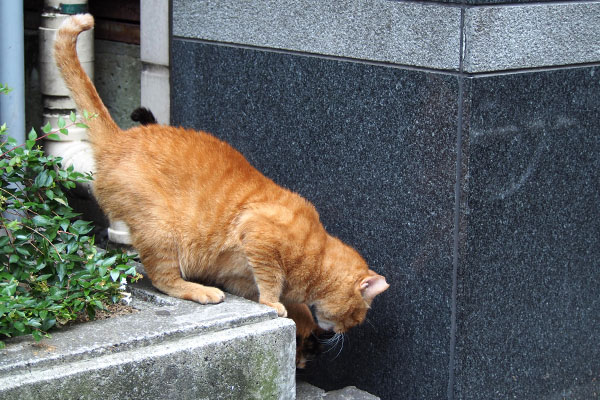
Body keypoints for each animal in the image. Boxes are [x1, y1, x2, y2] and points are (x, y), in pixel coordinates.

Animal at [52, 16, 390, 338]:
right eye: (356, 316)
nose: (342, 333)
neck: (317, 251)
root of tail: (119, 139)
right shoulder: (259, 234)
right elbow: (271, 281)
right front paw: (276, 304)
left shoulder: (238, 276)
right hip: (160, 228)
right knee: (163, 278)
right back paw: (201, 291)